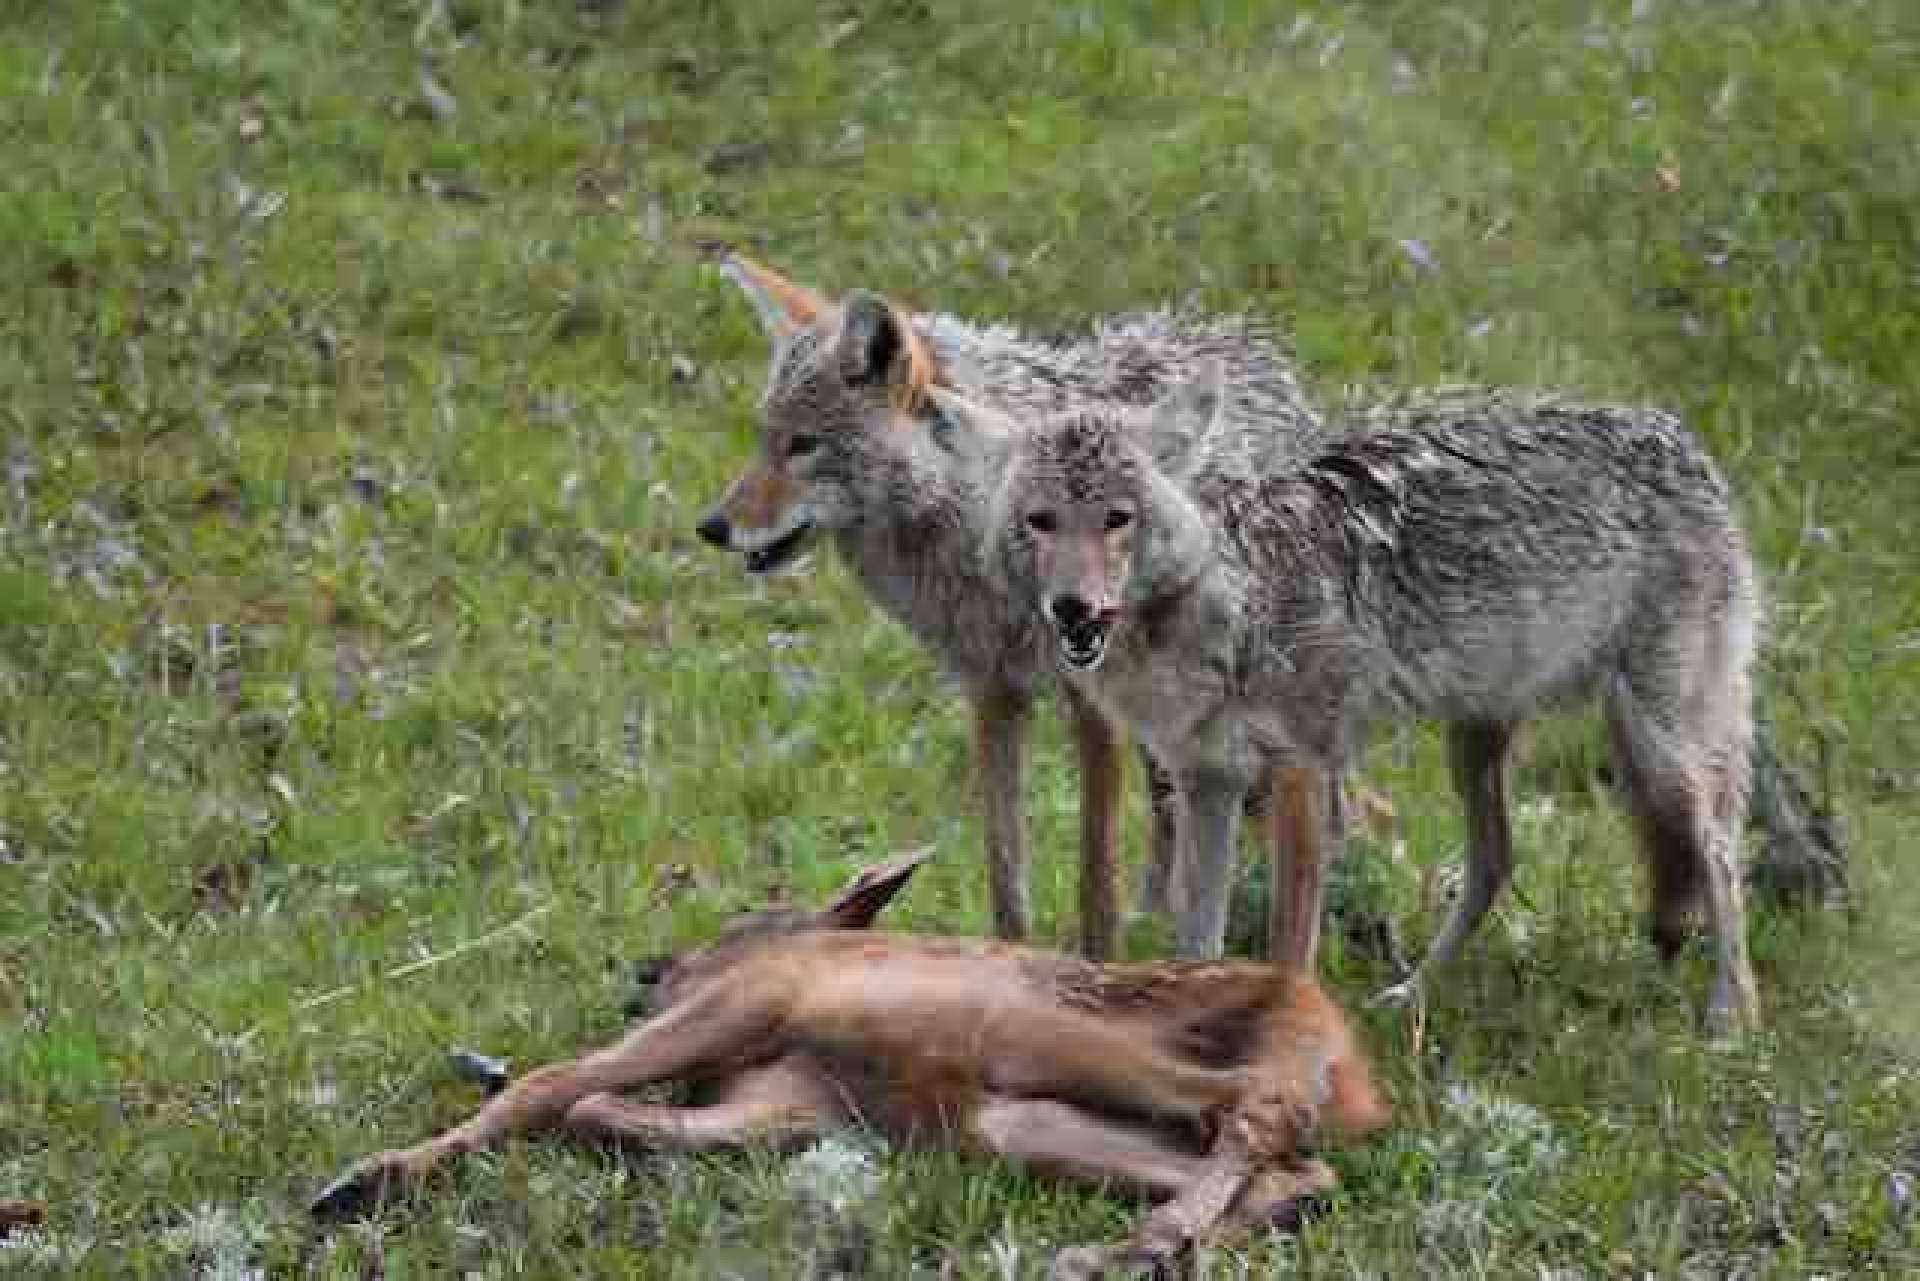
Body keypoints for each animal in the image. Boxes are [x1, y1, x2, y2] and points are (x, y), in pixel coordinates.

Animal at [310, 850, 1390, 1276]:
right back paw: (1142, 1246)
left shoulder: (757, 994)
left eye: (743, 916)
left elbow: (555, 1086)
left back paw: (1142, 1245)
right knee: (1297, 1167)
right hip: (1020, 1115)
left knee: (1257, 1109)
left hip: (1061, 1031)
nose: (646, 968)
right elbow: (600, 1108)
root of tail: (1353, 1062)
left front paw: (366, 1178)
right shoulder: (795, 1100)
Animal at [693, 249, 1324, 956]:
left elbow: (1094, 879)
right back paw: (1161, 916)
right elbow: (1005, 872)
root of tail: (1257, 351)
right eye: (763, 441)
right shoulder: (992, 693)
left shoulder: (1089, 708)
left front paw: (1096, 965)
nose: (711, 527)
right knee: (1174, 811)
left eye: (803, 446)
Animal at [937, 372, 1762, 1034]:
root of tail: (1687, 443)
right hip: (1475, 744)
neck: (1232, 602)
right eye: (1041, 520)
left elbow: (1288, 951)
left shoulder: (1302, 769)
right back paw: (1412, 994)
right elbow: (1198, 938)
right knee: (1495, 860)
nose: (1073, 609)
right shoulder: (1209, 783)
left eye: (1117, 517)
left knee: (1722, 849)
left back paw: (1732, 1016)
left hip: (1662, 748)